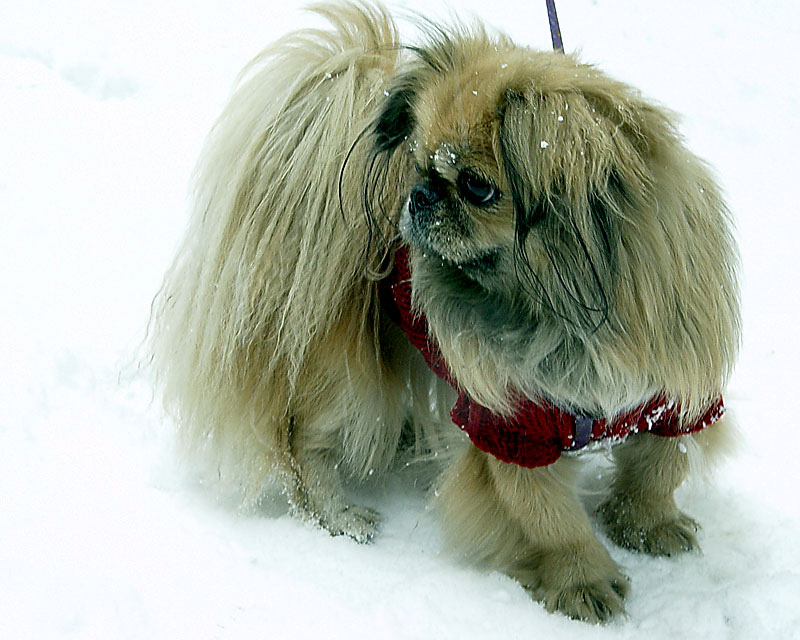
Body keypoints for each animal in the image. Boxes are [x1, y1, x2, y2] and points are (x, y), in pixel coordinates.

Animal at [148, 0, 736, 620]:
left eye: (477, 186)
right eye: (420, 166)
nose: (419, 195)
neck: (563, 314)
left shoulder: (676, 397)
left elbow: (660, 468)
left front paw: (646, 526)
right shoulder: (513, 430)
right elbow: (550, 518)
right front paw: (581, 582)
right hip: (344, 379)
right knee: (303, 448)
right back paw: (340, 516)